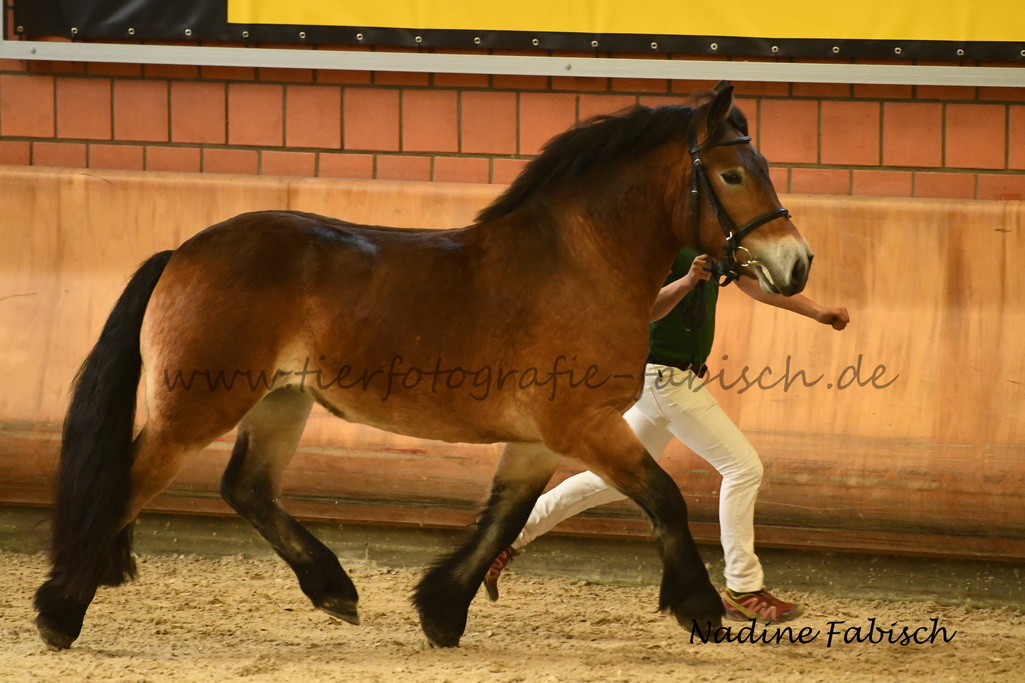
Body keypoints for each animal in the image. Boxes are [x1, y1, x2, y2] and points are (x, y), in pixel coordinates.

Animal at [34, 82, 812, 650]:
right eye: (733, 173)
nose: (796, 263)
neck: (578, 263)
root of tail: (183, 252)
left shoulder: (538, 439)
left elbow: (504, 515)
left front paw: (441, 611)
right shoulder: (584, 425)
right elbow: (664, 497)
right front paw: (699, 607)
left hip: (281, 400)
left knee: (246, 487)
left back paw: (334, 589)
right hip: (198, 405)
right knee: (130, 480)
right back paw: (59, 612)